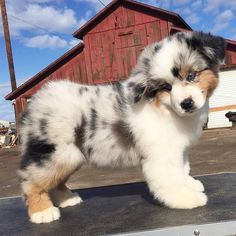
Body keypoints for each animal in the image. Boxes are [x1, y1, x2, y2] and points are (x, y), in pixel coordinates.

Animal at [18, 31, 225, 223]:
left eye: (191, 75)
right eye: (166, 87)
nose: (186, 103)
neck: (165, 108)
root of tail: (35, 101)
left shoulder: (180, 149)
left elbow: (183, 170)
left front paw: (190, 185)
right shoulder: (162, 153)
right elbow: (171, 177)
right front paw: (186, 198)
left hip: (71, 155)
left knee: (55, 180)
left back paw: (67, 199)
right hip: (55, 153)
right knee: (31, 180)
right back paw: (42, 212)